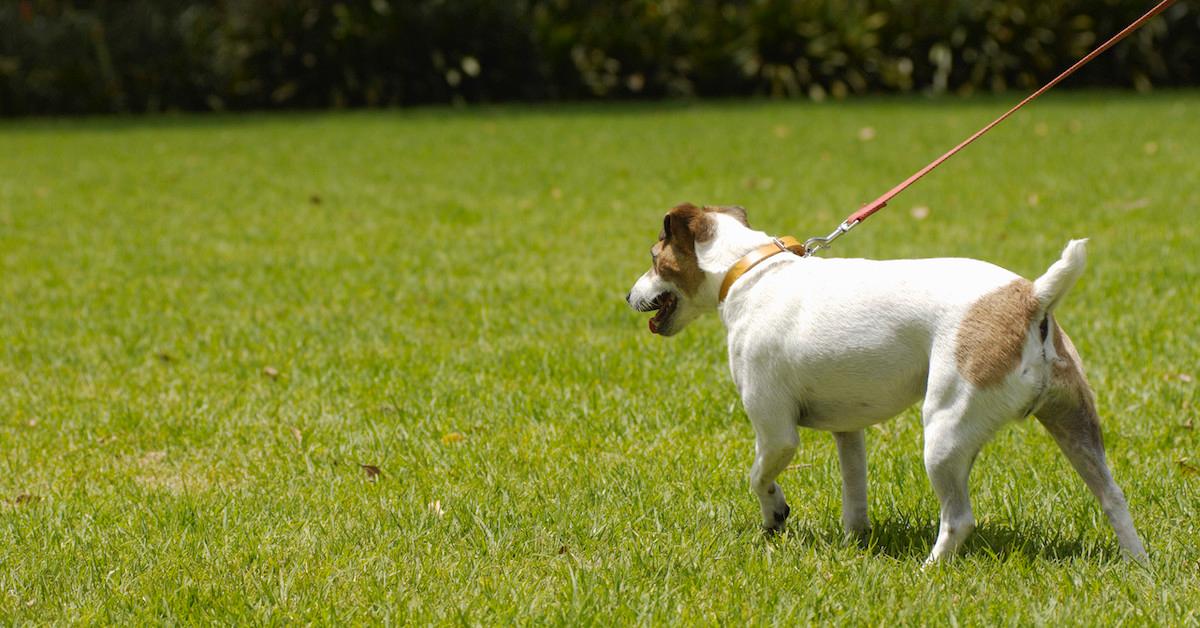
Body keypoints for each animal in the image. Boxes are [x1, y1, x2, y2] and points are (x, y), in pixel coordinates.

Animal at [628, 202, 1142, 564]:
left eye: (653, 258)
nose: (628, 295)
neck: (750, 271)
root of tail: (1032, 297)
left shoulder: (776, 432)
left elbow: (758, 476)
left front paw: (775, 516)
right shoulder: (847, 430)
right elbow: (855, 492)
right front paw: (853, 542)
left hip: (943, 433)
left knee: (959, 519)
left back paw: (930, 571)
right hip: (1074, 425)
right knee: (1113, 497)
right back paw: (1139, 566)